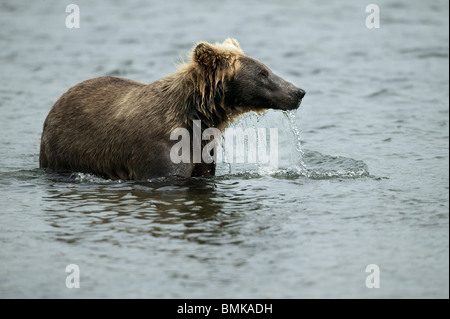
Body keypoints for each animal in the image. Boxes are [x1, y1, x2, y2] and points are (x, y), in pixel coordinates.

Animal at [39, 38, 306, 180]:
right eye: (262, 73)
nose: (298, 92)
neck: (198, 118)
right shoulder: (160, 153)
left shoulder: (202, 151)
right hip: (63, 149)